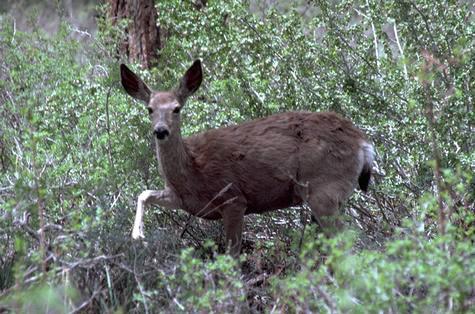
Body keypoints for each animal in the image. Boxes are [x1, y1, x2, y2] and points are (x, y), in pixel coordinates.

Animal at [121, 60, 374, 256]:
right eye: (149, 109)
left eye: (176, 108)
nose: (161, 131)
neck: (192, 169)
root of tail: (363, 143)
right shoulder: (184, 199)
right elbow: (144, 193)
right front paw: (137, 235)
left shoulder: (233, 199)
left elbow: (232, 255)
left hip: (324, 189)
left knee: (347, 243)